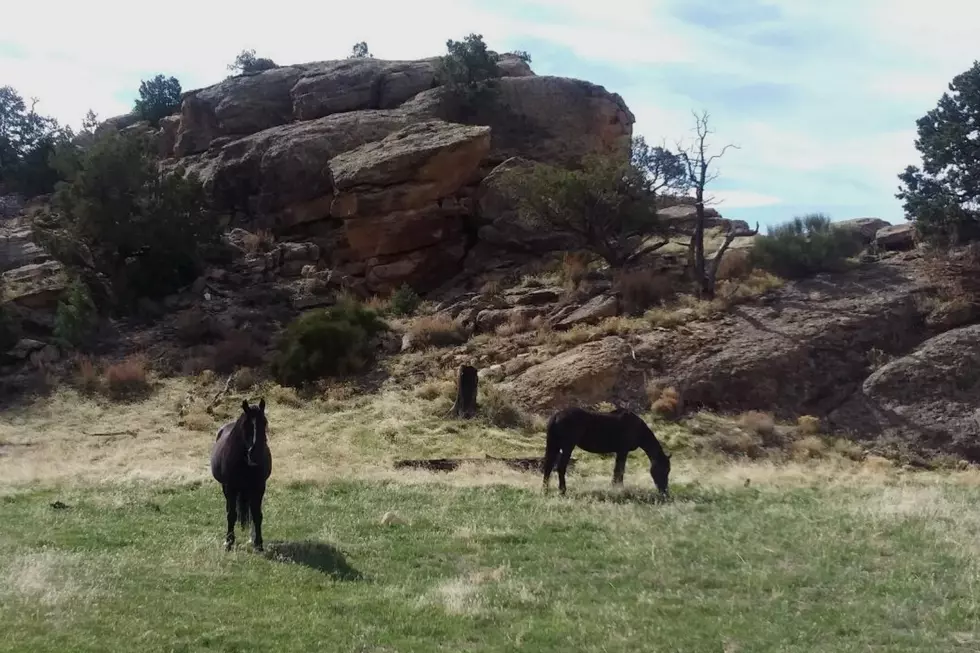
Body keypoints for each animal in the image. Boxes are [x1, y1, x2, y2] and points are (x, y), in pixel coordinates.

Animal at [210, 399, 272, 552]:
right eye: (245, 424)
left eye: (264, 422)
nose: (255, 455)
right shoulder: (230, 488)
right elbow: (231, 515)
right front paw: (229, 542)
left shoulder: (259, 488)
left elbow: (256, 515)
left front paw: (258, 544)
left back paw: (251, 538)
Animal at [542, 406, 671, 497]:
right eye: (665, 470)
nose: (665, 492)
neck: (637, 429)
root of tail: (557, 415)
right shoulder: (623, 451)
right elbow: (620, 470)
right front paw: (619, 488)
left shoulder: (620, 452)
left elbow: (617, 470)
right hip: (567, 447)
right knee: (561, 467)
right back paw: (562, 491)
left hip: (554, 446)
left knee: (548, 466)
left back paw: (545, 490)